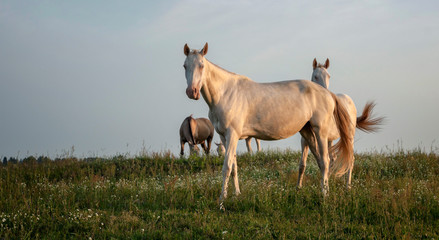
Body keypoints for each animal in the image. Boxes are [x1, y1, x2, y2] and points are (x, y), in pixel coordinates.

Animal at [184, 43, 356, 202]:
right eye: (185, 65)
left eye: (201, 65)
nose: (192, 92)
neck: (226, 93)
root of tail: (329, 94)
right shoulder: (224, 137)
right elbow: (233, 167)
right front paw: (236, 194)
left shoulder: (232, 134)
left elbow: (226, 167)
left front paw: (221, 201)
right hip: (307, 132)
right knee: (320, 161)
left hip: (320, 132)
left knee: (326, 161)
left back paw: (324, 195)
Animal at [298, 58, 384, 189]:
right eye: (315, 76)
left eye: (329, 76)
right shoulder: (305, 140)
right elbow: (303, 164)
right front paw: (298, 188)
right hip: (331, 139)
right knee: (333, 159)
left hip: (349, 136)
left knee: (350, 159)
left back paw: (348, 186)